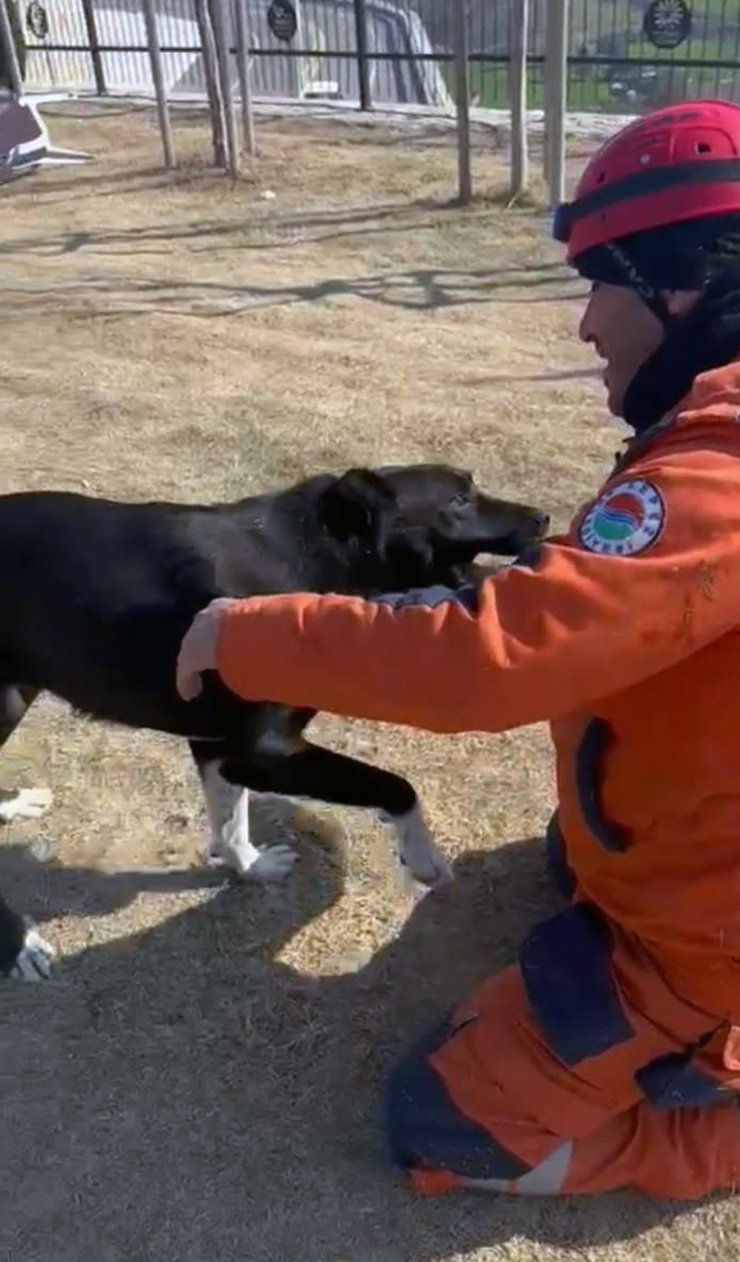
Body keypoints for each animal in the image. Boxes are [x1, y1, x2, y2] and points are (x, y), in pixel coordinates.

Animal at [0, 464, 545, 974]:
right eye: (458, 500)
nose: (543, 518)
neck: (320, 555)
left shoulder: (218, 747)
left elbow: (231, 820)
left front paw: (251, 867)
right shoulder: (262, 753)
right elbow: (395, 785)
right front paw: (423, 856)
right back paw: (18, 945)